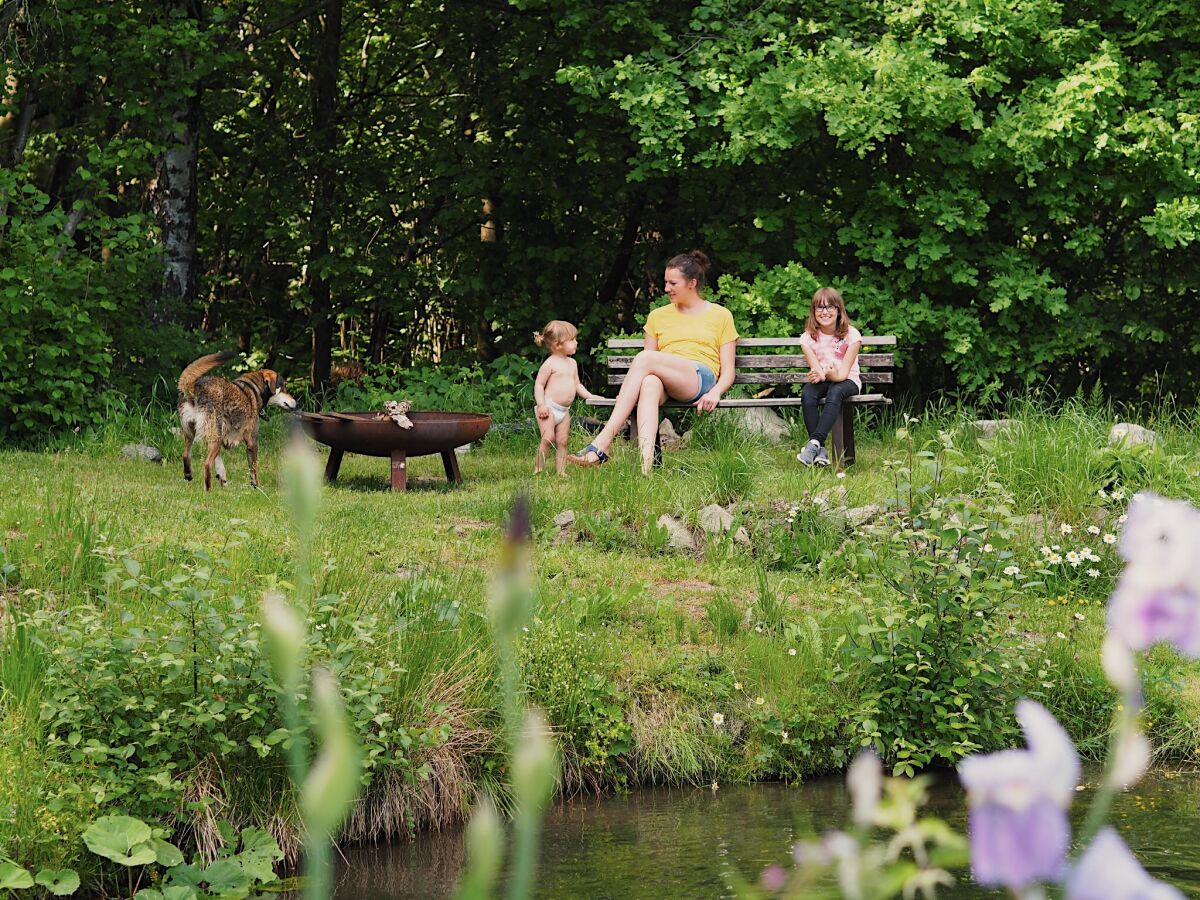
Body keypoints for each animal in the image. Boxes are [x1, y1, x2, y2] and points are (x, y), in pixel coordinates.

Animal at [178, 355, 298, 494]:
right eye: (283, 387)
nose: (296, 403)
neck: (255, 389)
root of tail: (195, 388)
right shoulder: (252, 442)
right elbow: (253, 469)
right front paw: (257, 487)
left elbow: (220, 466)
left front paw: (223, 481)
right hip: (214, 436)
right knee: (206, 464)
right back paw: (208, 490)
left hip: (191, 433)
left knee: (185, 455)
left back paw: (188, 475)